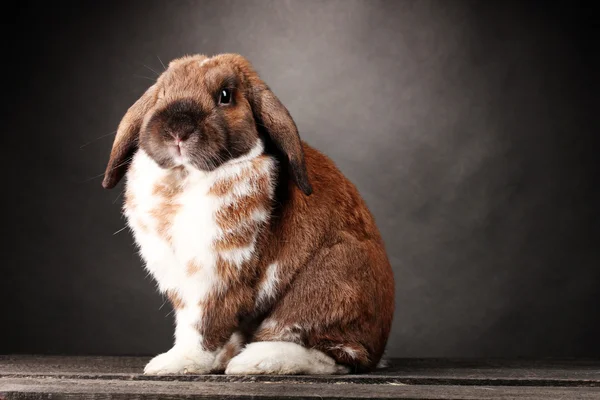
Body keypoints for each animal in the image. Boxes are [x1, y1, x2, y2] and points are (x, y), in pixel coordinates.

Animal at [103, 54, 394, 376]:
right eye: (163, 93)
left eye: (225, 95)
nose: (177, 131)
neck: (185, 177)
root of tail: (379, 345)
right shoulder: (180, 282)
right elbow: (191, 324)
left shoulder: (218, 277)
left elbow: (202, 326)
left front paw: (175, 363)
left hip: (328, 285)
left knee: (336, 355)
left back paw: (254, 360)